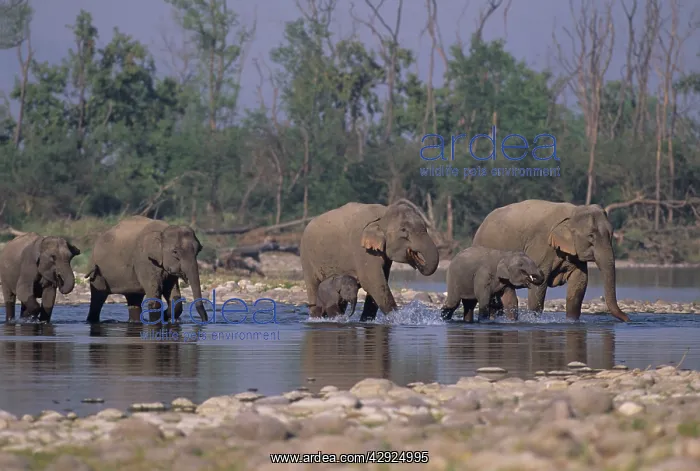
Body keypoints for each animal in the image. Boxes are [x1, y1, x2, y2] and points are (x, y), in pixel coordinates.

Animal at [300, 201, 440, 321]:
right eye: (404, 230)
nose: (419, 263)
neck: (383, 213)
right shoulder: (361, 250)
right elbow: (373, 282)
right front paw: (397, 319)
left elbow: (378, 281)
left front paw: (366, 321)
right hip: (306, 258)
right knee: (313, 288)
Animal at [472, 199, 630, 322]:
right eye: (591, 236)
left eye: (611, 233)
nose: (628, 319)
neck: (573, 211)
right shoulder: (541, 246)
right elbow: (538, 284)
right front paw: (534, 320)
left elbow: (579, 283)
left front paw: (572, 321)